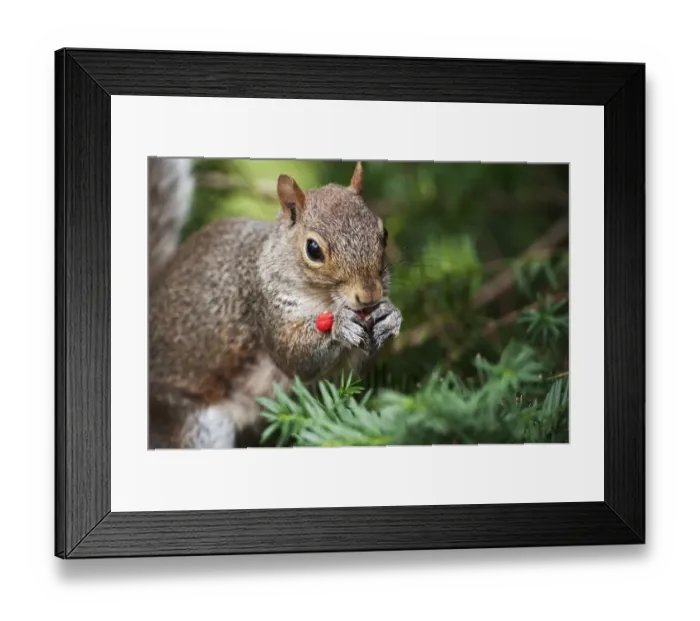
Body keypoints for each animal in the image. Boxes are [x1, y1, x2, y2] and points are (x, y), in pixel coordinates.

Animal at [148, 160, 402, 449]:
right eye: (313, 249)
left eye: (383, 233)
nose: (369, 295)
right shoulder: (265, 305)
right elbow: (293, 357)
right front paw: (340, 325)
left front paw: (389, 315)